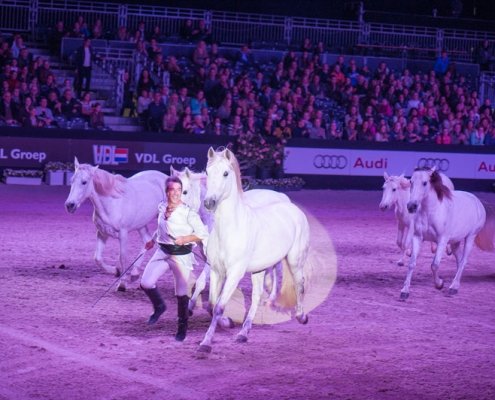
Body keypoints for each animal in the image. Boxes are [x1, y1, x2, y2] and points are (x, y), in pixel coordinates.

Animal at [65, 156, 169, 288]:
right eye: (72, 180)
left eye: (84, 182)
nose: (70, 205)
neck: (112, 202)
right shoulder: (102, 233)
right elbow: (97, 258)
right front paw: (115, 271)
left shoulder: (123, 234)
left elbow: (122, 257)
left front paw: (122, 284)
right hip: (141, 224)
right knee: (147, 241)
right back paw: (134, 273)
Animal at [172, 166, 292, 316]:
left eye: (185, 191)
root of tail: (283, 197)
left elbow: (201, 282)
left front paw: (191, 307)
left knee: (277, 270)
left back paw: (271, 299)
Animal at [198, 149, 310, 354]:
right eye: (208, 172)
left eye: (226, 173)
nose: (209, 203)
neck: (230, 229)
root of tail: (292, 207)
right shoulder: (217, 271)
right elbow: (212, 304)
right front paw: (226, 324)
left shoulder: (234, 273)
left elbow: (219, 306)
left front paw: (206, 343)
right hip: (259, 269)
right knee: (257, 296)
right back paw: (243, 333)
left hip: (295, 260)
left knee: (300, 284)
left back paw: (301, 316)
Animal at [404, 166, 495, 300]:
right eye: (411, 182)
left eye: (425, 183)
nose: (411, 206)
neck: (430, 213)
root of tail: (477, 201)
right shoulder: (417, 238)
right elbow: (411, 264)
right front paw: (404, 291)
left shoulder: (442, 240)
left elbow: (434, 265)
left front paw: (439, 284)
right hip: (455, 242)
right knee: (459, 260)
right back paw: (457, 283)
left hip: (470, 237)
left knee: (463, 261)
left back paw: (453, 287)